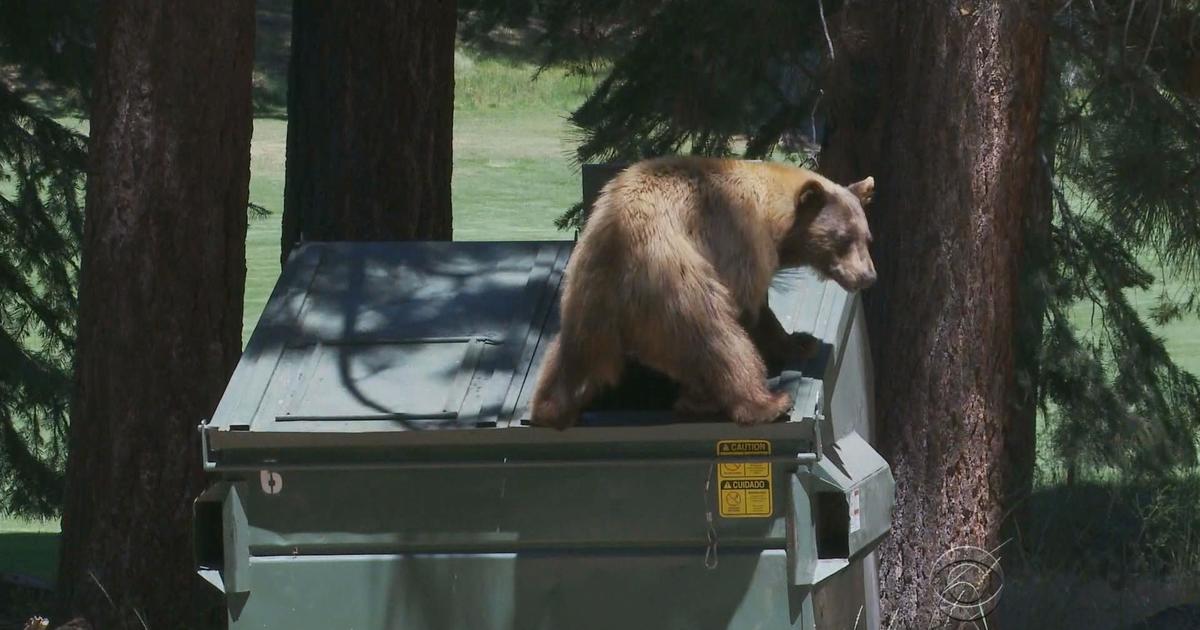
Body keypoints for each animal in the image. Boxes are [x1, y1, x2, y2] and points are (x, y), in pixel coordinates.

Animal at [530, 157, 878, 429]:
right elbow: (752, 308)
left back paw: (549, 408)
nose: (868, 276)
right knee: (719, 341)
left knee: (568, 355)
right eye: (843, 238)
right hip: (676, 286)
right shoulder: (740, 241)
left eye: (866, 237)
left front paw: (801, 341)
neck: (774, 216)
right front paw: (795, 343)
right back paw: (762, 402)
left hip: (583, 297)